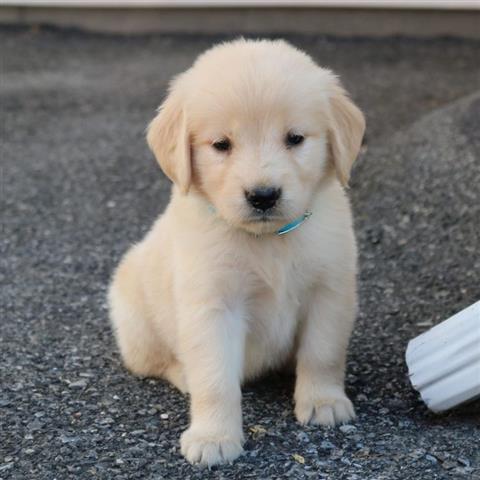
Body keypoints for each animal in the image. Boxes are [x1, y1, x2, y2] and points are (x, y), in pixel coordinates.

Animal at [108, 39, 364, 466]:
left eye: (295, 138)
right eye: (221, 145)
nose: (263, 196)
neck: (270, 240)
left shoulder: (329, 290)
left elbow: (322, 352)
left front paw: (323, 402)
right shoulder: (213, 305)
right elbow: (215, 379)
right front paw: (213, 436)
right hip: (134, 319)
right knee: (155, 363)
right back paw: (184, 375)